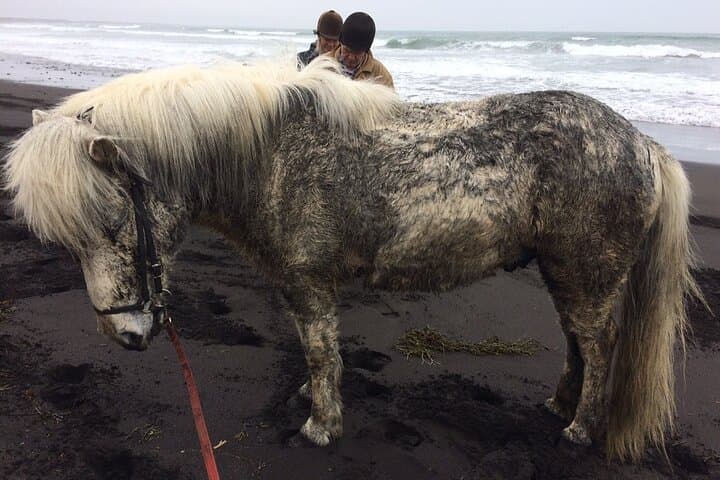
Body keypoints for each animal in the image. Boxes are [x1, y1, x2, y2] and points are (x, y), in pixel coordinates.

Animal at [3, 57, 700, 462]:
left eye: (113, 223)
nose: (124, 335)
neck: (267, 154)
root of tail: (643, 144)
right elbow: (314, 350)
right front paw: (312, 403)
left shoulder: (309, 281)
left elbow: (320, 350)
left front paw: (321, 425)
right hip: (566, 273)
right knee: (578, 343)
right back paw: (560, 406)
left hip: (589, 274)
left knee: (600, 346)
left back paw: (580, 430)